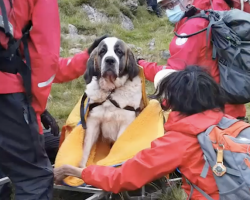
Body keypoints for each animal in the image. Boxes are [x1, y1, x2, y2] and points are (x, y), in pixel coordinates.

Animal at [79, 36, 144, 168]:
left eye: (119, 51)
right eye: (102, 51)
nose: (109, 60)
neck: (110, 92)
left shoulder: (126, 123)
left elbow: (117, 148)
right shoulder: (93, 121)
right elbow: (86, 148)